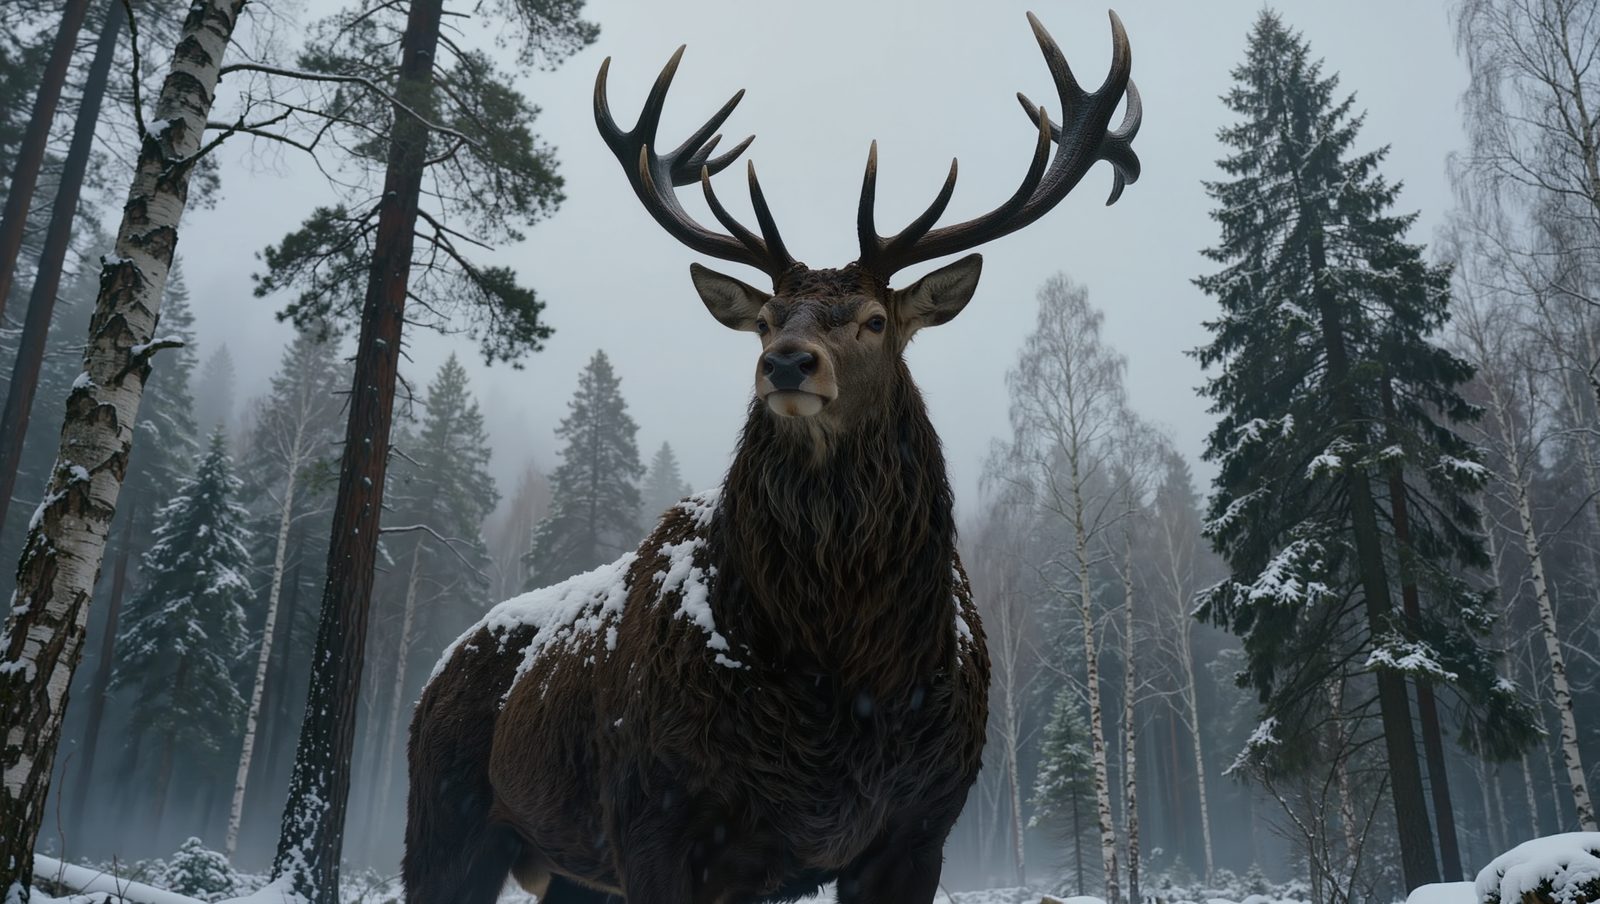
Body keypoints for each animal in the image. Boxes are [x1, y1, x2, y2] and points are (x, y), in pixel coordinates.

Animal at [404, 10, 1139, 904]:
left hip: (574, 871)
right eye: (764, 320)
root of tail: (437, 670)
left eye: (874, 321)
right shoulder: (656, 818)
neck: (841, 679)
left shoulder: (919, 826)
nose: (787, 362)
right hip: (445, 821)